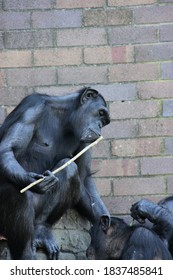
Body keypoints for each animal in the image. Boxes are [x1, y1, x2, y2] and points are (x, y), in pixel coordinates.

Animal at [0, 87, 110, 260]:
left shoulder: (85, 141)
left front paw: (103, 220)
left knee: (69, 168)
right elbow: (8, 149)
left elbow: (84, 175)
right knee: (16, 192)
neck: (66, 117)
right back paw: (25, 254)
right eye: (100, 113)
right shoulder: (32, 108)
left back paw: (41, 231)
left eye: (105, 121)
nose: (100, 125)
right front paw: (31, 180)